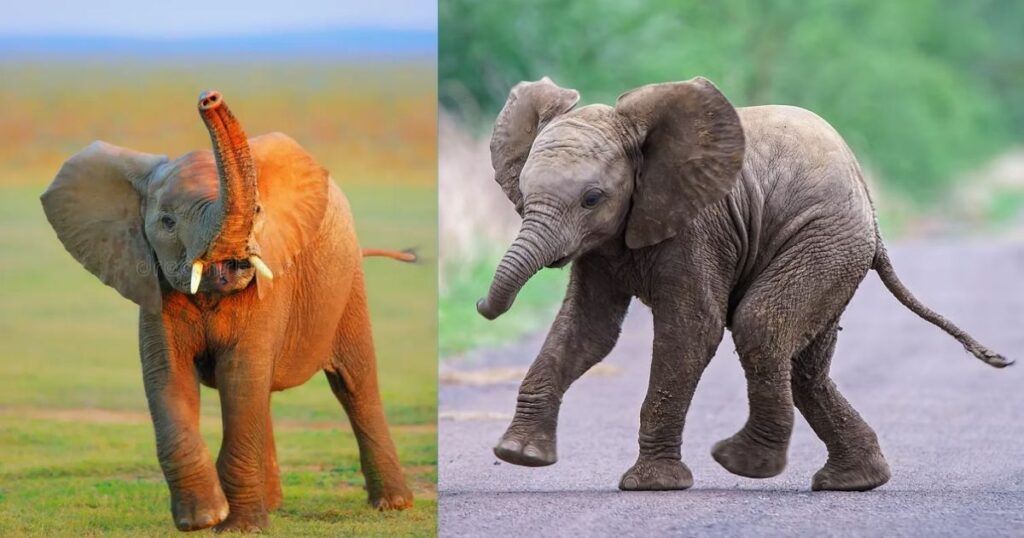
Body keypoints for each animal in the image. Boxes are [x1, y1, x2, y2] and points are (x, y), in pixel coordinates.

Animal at [41, 90, 414, 532]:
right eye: (166, 222)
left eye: (258, 212)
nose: (209, 98)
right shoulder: (151, 285)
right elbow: (168, 376)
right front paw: (202, 518)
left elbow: (240, 374)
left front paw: (239, 528)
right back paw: (273, 504)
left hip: (348, 285)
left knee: (354, 384)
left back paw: (393, 505)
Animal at [477, 76, 1013, 493]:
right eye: (522, 191)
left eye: (592, 198)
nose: (481, 306)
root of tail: (872, 211)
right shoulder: (604, 245)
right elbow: (587, 332)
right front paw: (519, 454)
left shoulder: (699, 226)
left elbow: (693, 329)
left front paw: (651, 485)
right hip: (836, 254)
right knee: (803, 367)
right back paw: (853, 481)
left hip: (825, 241)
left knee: (761, 326)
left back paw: (742, 464)